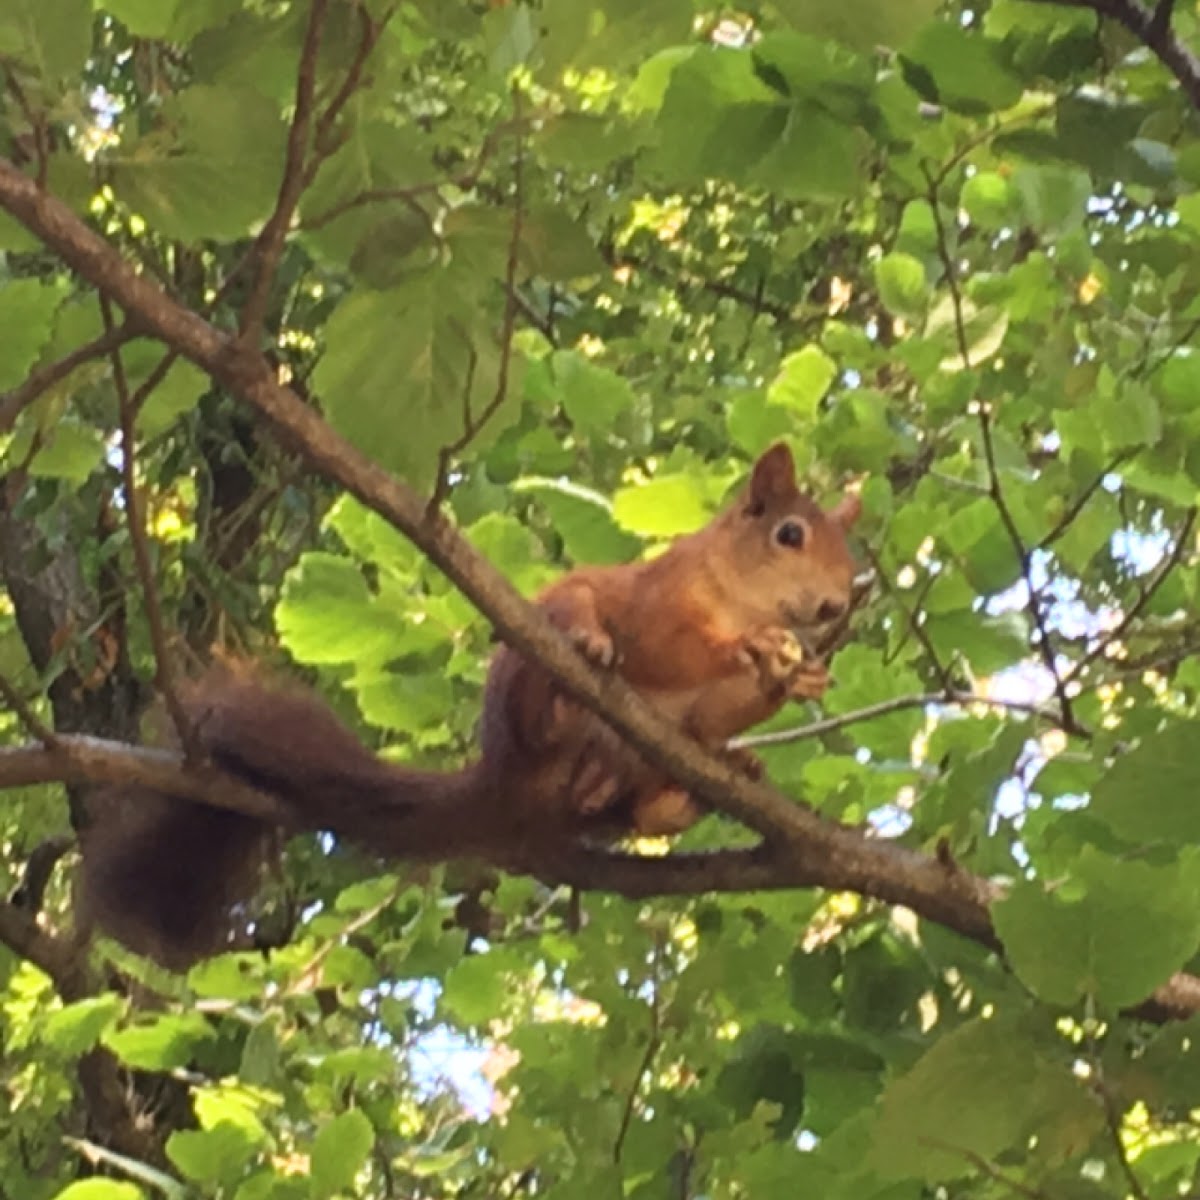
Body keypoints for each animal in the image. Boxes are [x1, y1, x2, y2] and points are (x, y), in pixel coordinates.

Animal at [77, 446, 864, 969]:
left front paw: (795, 680)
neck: (738, 591)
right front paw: (756, 647)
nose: (836, 604)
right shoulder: (658, 605)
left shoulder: (706, 705)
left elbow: (710, 716)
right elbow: (676, 648)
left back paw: (692, 788)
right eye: (789, 534)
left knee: (645, 811)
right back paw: (574, 676)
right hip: (532, 663)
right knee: (554, 691)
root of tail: (501, 783)